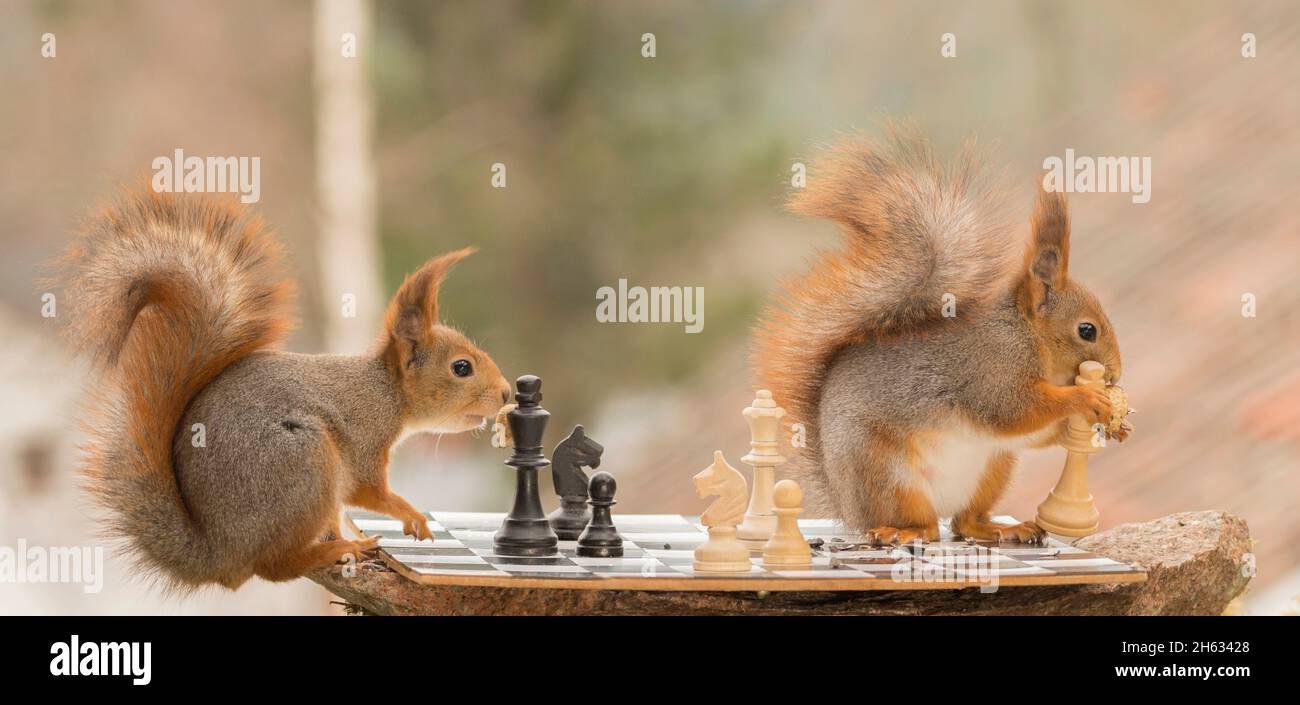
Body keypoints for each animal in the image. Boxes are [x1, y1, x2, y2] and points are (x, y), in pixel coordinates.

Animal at [754, 128, 1128, 546]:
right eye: (1087, 330)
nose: (1115, 375)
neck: (1025, 334)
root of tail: (845, 504)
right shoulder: (989, 372)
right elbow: (1015, 411)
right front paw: (1085, 398)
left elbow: (1036, 434)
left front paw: (1110, 423)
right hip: (887, 475)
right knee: (927, 527)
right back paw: (902, 532)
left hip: (994, 467)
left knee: (964, 523)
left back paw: (1005, 527)